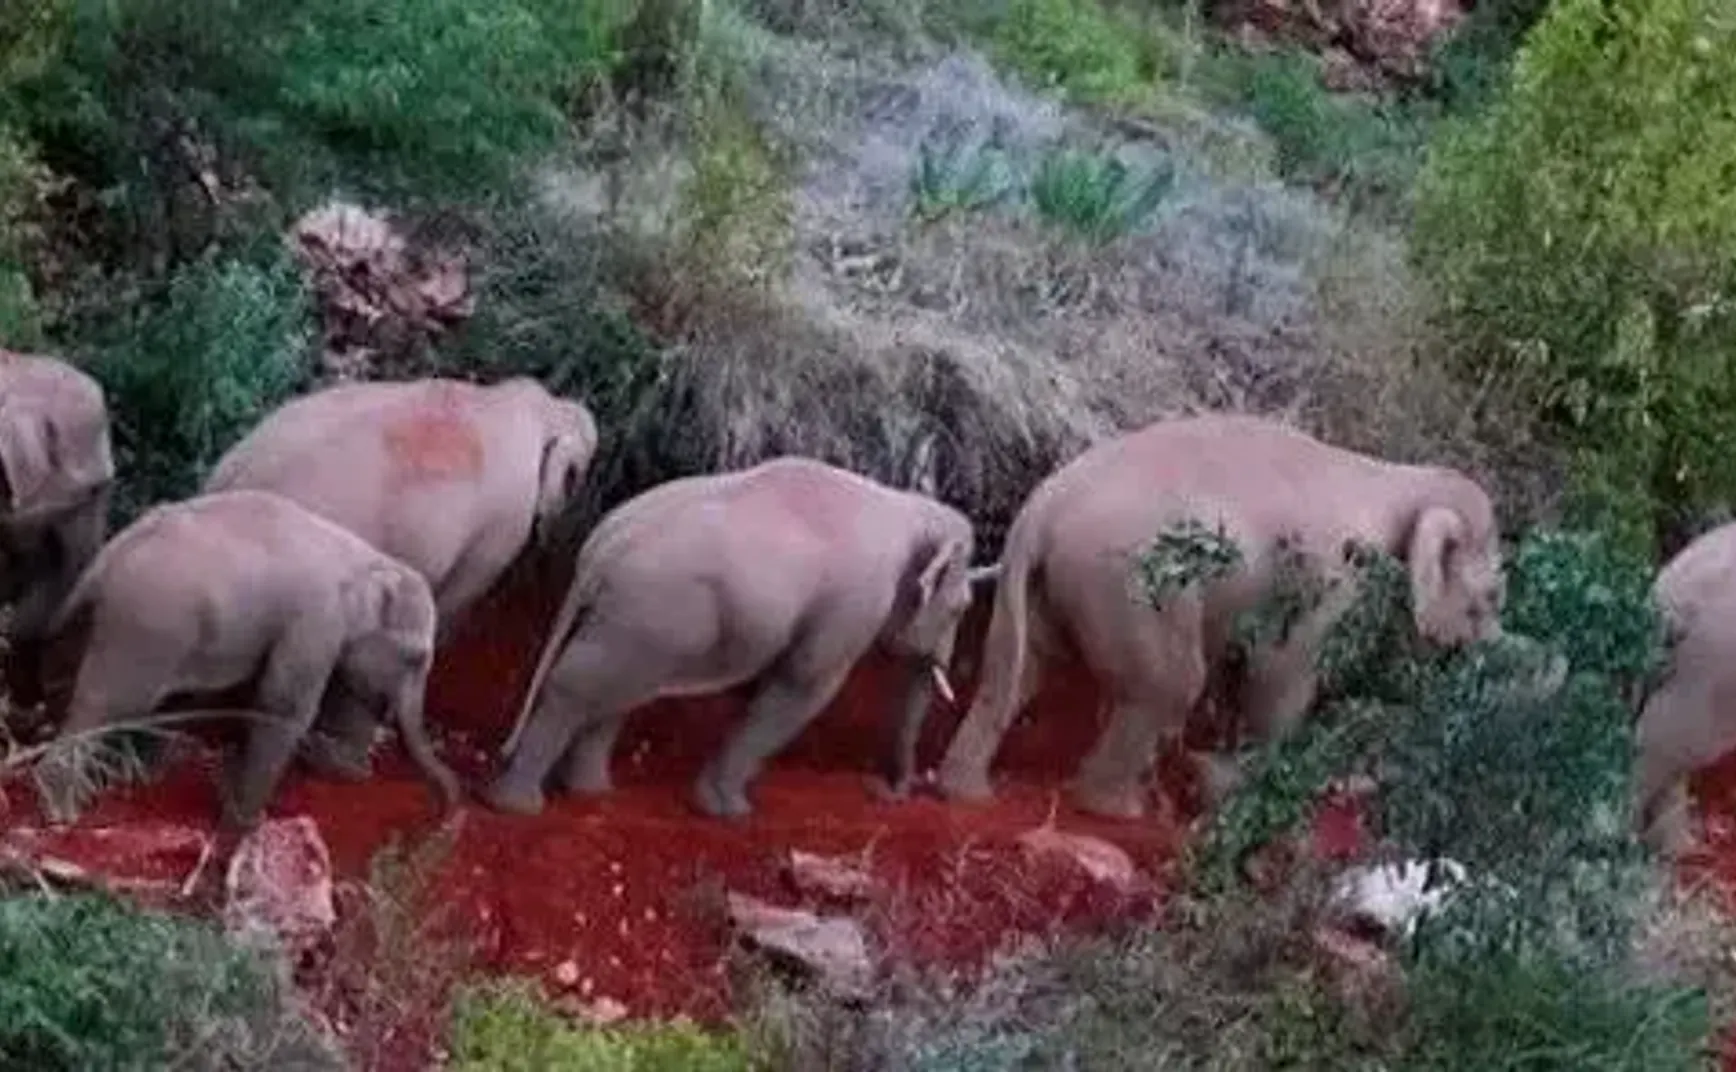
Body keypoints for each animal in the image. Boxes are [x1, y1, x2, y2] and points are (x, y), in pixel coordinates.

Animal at [35, 489, 458, 832]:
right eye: (416, 656)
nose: (443, 819)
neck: (370, 558)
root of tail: (112, 551)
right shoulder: (315, 620)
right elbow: (283, 704)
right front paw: (247, 823)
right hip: (146, 624)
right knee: (108, 703)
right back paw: (62, 810)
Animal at [484, 456, 991, 819]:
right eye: (960, 607)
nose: (887, 791)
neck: (908, 507)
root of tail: (598, 551)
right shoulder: (853, 605)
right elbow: (805, 685)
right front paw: (730, 813)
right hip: (649, 610)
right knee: (580, 685)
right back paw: (518, 807)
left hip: (638, 621)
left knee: (617, 692)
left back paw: (592, 793)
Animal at [935, 413, 1506, 821]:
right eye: (1491, 598)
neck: (1395, 477)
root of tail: (1040, 513)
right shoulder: (1329, 580)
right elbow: (1280, 676)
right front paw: (1224, 784)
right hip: (1135, 588)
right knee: (1170, 685)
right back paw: (1120, 809)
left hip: (1052, 590)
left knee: (1015, 671)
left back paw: (967, 792)